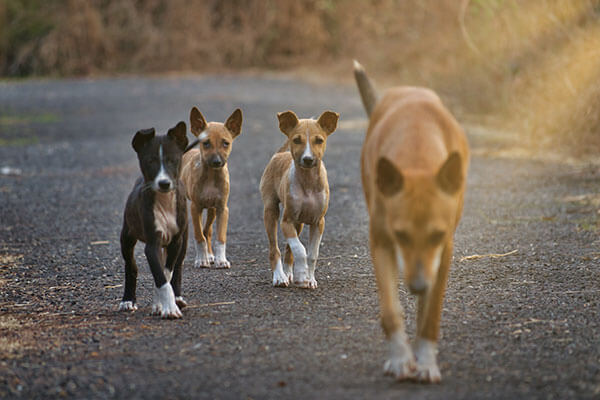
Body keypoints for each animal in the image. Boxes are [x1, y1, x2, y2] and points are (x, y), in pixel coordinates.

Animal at [118, 121, 189, 318]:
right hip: (126, 236)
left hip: (184, 240)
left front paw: (162, 304)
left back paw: (178, 298)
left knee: (178, 266)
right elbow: (160, 277)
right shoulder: (152, 243)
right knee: (131, 267)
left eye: (173, 160)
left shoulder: (176, 242)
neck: (164, 201)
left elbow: (166, 273)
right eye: (150, 161)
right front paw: (168, 308)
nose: (164, 183)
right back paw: (128, 300)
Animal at [180, 106, 241, 268]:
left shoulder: (222, 208)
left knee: (207, 230)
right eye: (206, 143)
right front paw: (201, 260)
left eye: (226, 143)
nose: (216, 162)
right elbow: (198, 236)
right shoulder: (195, 208)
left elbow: (220, 238)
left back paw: (211, 256)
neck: (212, 177)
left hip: (212, 210)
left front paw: (221, 260)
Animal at [260, 111, 340, 290]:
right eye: (296, 140)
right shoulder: (286, 221)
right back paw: (280, 277)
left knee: (288, 250)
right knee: (275, 249)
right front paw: (302, 275)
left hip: (300, 223)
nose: (308, 159)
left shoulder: (318, 222)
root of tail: (280, 153)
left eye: (319, 140)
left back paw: (289, 273)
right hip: (271, 212)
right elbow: (300, 250)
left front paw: (309, 279)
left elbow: (312, 254)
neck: (308, 182)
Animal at [354, 61, 472, 382]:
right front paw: (400, 358)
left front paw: (427, 361)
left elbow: (430, 316)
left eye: (436, 235)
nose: (418, 285)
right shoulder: (381, 242)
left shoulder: (444, 250)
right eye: (401, 235)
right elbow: (390, 310)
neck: (417, 152)